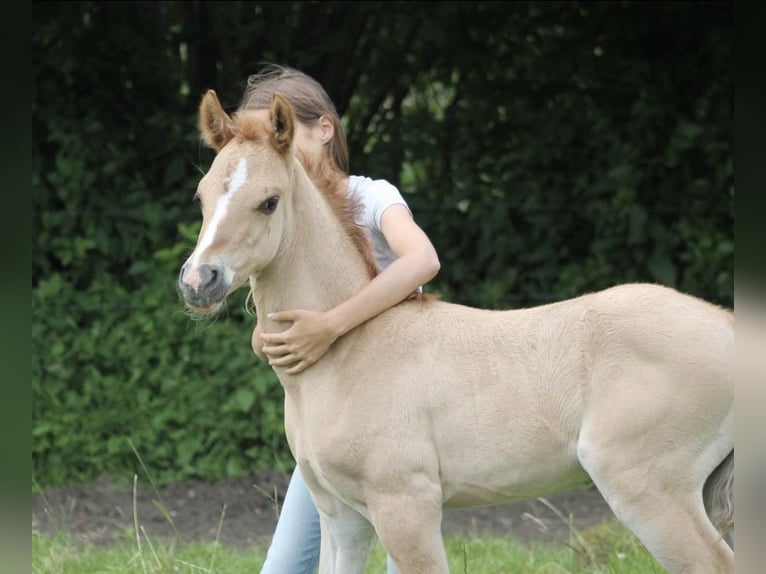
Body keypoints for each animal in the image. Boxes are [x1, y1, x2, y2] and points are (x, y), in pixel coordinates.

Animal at [182, 92, 736, 572]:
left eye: (269, 201)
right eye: (202, 196)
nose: (198, 281)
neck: (349, 353)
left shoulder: (407, 506)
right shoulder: (341, 517)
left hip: (648, 491)